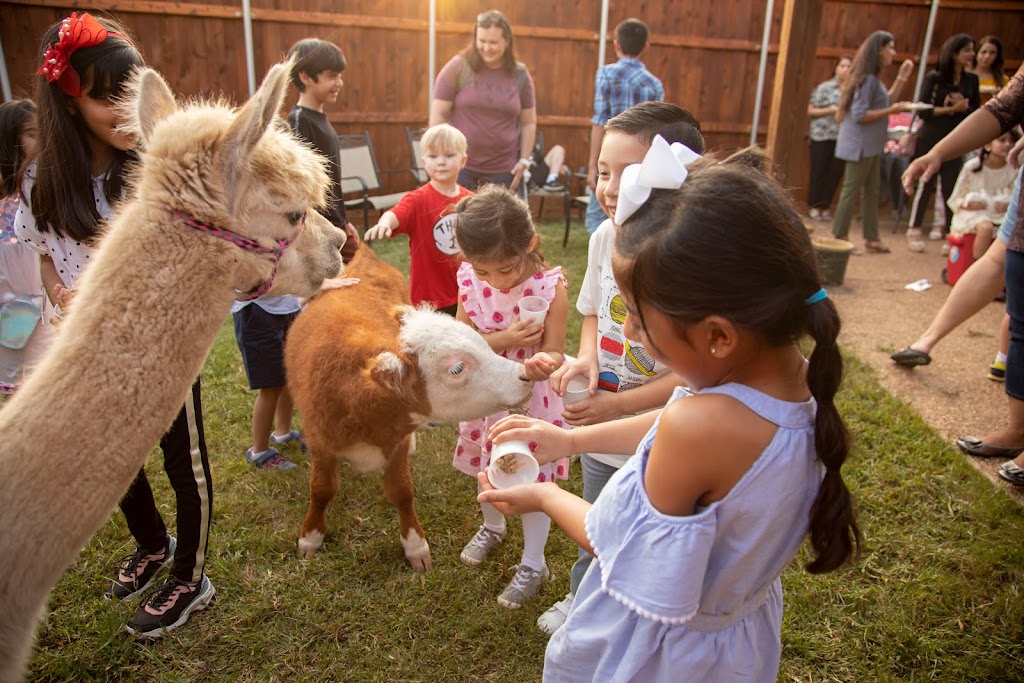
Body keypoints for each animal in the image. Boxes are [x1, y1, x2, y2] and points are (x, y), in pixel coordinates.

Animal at [284, 248, 532, 569]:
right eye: (457, 368)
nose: (524, 374)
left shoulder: (396, 445)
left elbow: (402, 492)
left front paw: (415, 546)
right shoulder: (321, 444)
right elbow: (321, 491)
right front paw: (311, 537)